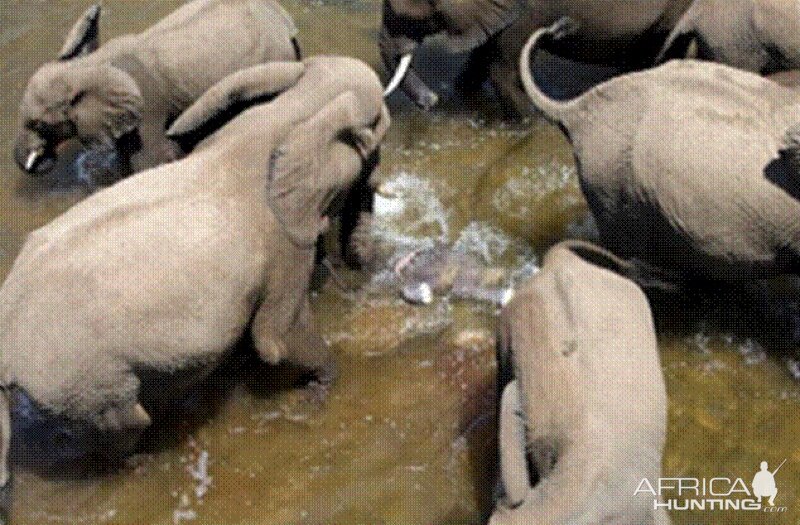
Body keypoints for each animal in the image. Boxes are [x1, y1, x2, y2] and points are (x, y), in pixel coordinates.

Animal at [0, 55, 390, 512]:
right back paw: (142, 466)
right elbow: (277, 338)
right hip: (87, 382)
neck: (293, 111)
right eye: (379, 126)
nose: (360, 270)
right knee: (127, 424)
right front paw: (317, 392)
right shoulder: (281, 244)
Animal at [15, 0, 304, 186]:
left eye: (38, 124)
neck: (84, 67)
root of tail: (281, 17)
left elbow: (151, 160)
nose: (41, 160)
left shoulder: (147, 105)